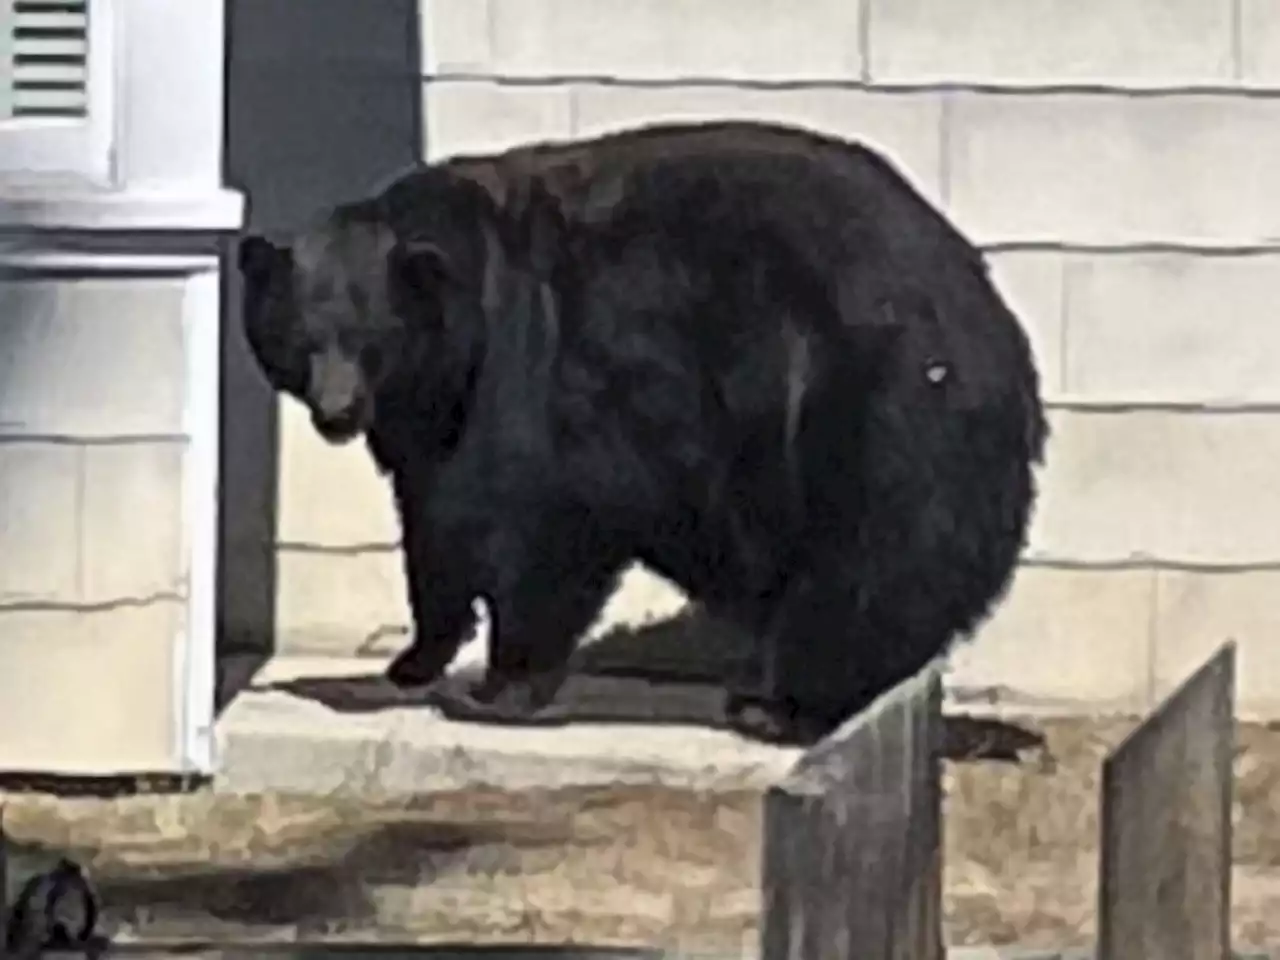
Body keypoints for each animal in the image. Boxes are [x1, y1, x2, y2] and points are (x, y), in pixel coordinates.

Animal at [241, 120, 1049, 747]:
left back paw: (781, 704)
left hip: (868, 409)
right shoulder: (431, 420)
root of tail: (996, 327)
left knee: (866, 563)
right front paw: (413, 659)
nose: (337, 413)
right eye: (302, 338)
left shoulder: (540, 369)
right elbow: (435, 524)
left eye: (371, 339)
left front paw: (497, 686)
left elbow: (537, 523)